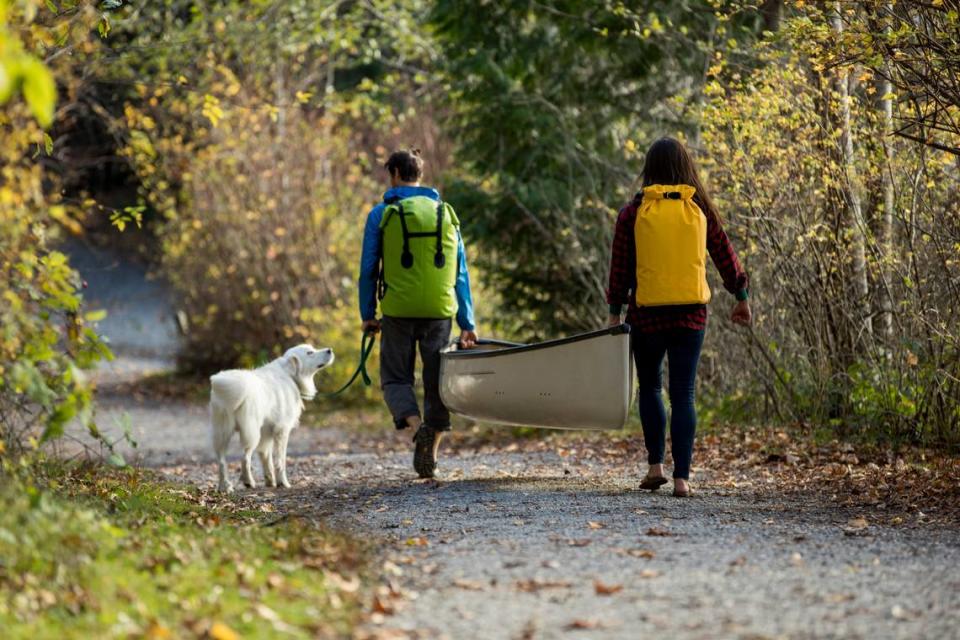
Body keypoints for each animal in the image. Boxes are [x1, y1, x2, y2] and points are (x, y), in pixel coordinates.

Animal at [210, 344, 334, 490]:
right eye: (310, 353)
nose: (330, 350)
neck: (290, 375)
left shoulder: (266, 433)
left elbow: (266, 457)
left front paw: (270, 481)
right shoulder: (282, 431)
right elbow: (280, 460)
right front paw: (283, 482)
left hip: (223, 432)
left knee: (221, 460)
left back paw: (224, 486)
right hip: (252, 433)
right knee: (245, 457)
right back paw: (248, 481)